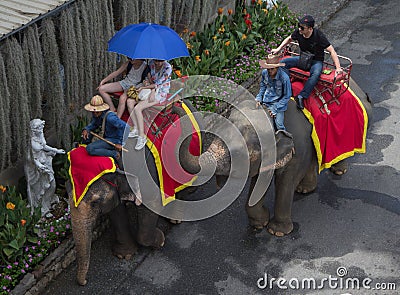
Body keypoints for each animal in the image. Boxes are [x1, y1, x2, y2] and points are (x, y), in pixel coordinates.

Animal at [179, 77, 372, 238]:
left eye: (240, 154)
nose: (179, 100)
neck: (269, 113)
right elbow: (260, 179)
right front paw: (259, 224)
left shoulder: (297, 144)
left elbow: (286, 180)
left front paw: (277, 232)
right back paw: (305, 189)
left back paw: (338, 172)